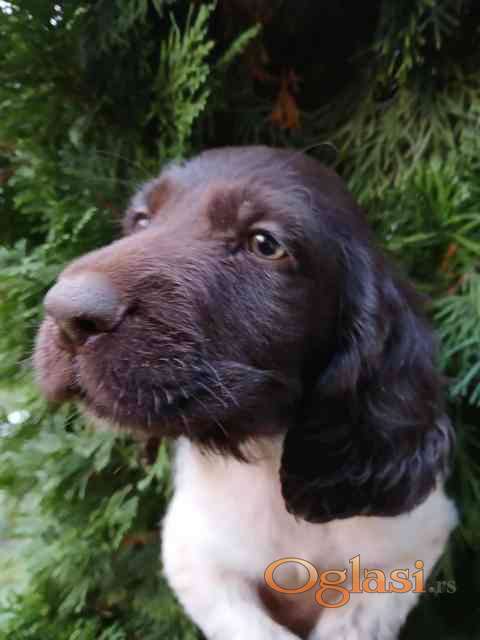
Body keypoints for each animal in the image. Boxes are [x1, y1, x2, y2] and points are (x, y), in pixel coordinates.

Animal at [34, 146, 457, 639]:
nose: (66, 313)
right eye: (140, 219)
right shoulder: (193, 556)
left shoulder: (406, 550)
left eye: (265, 243)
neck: (267, 457)